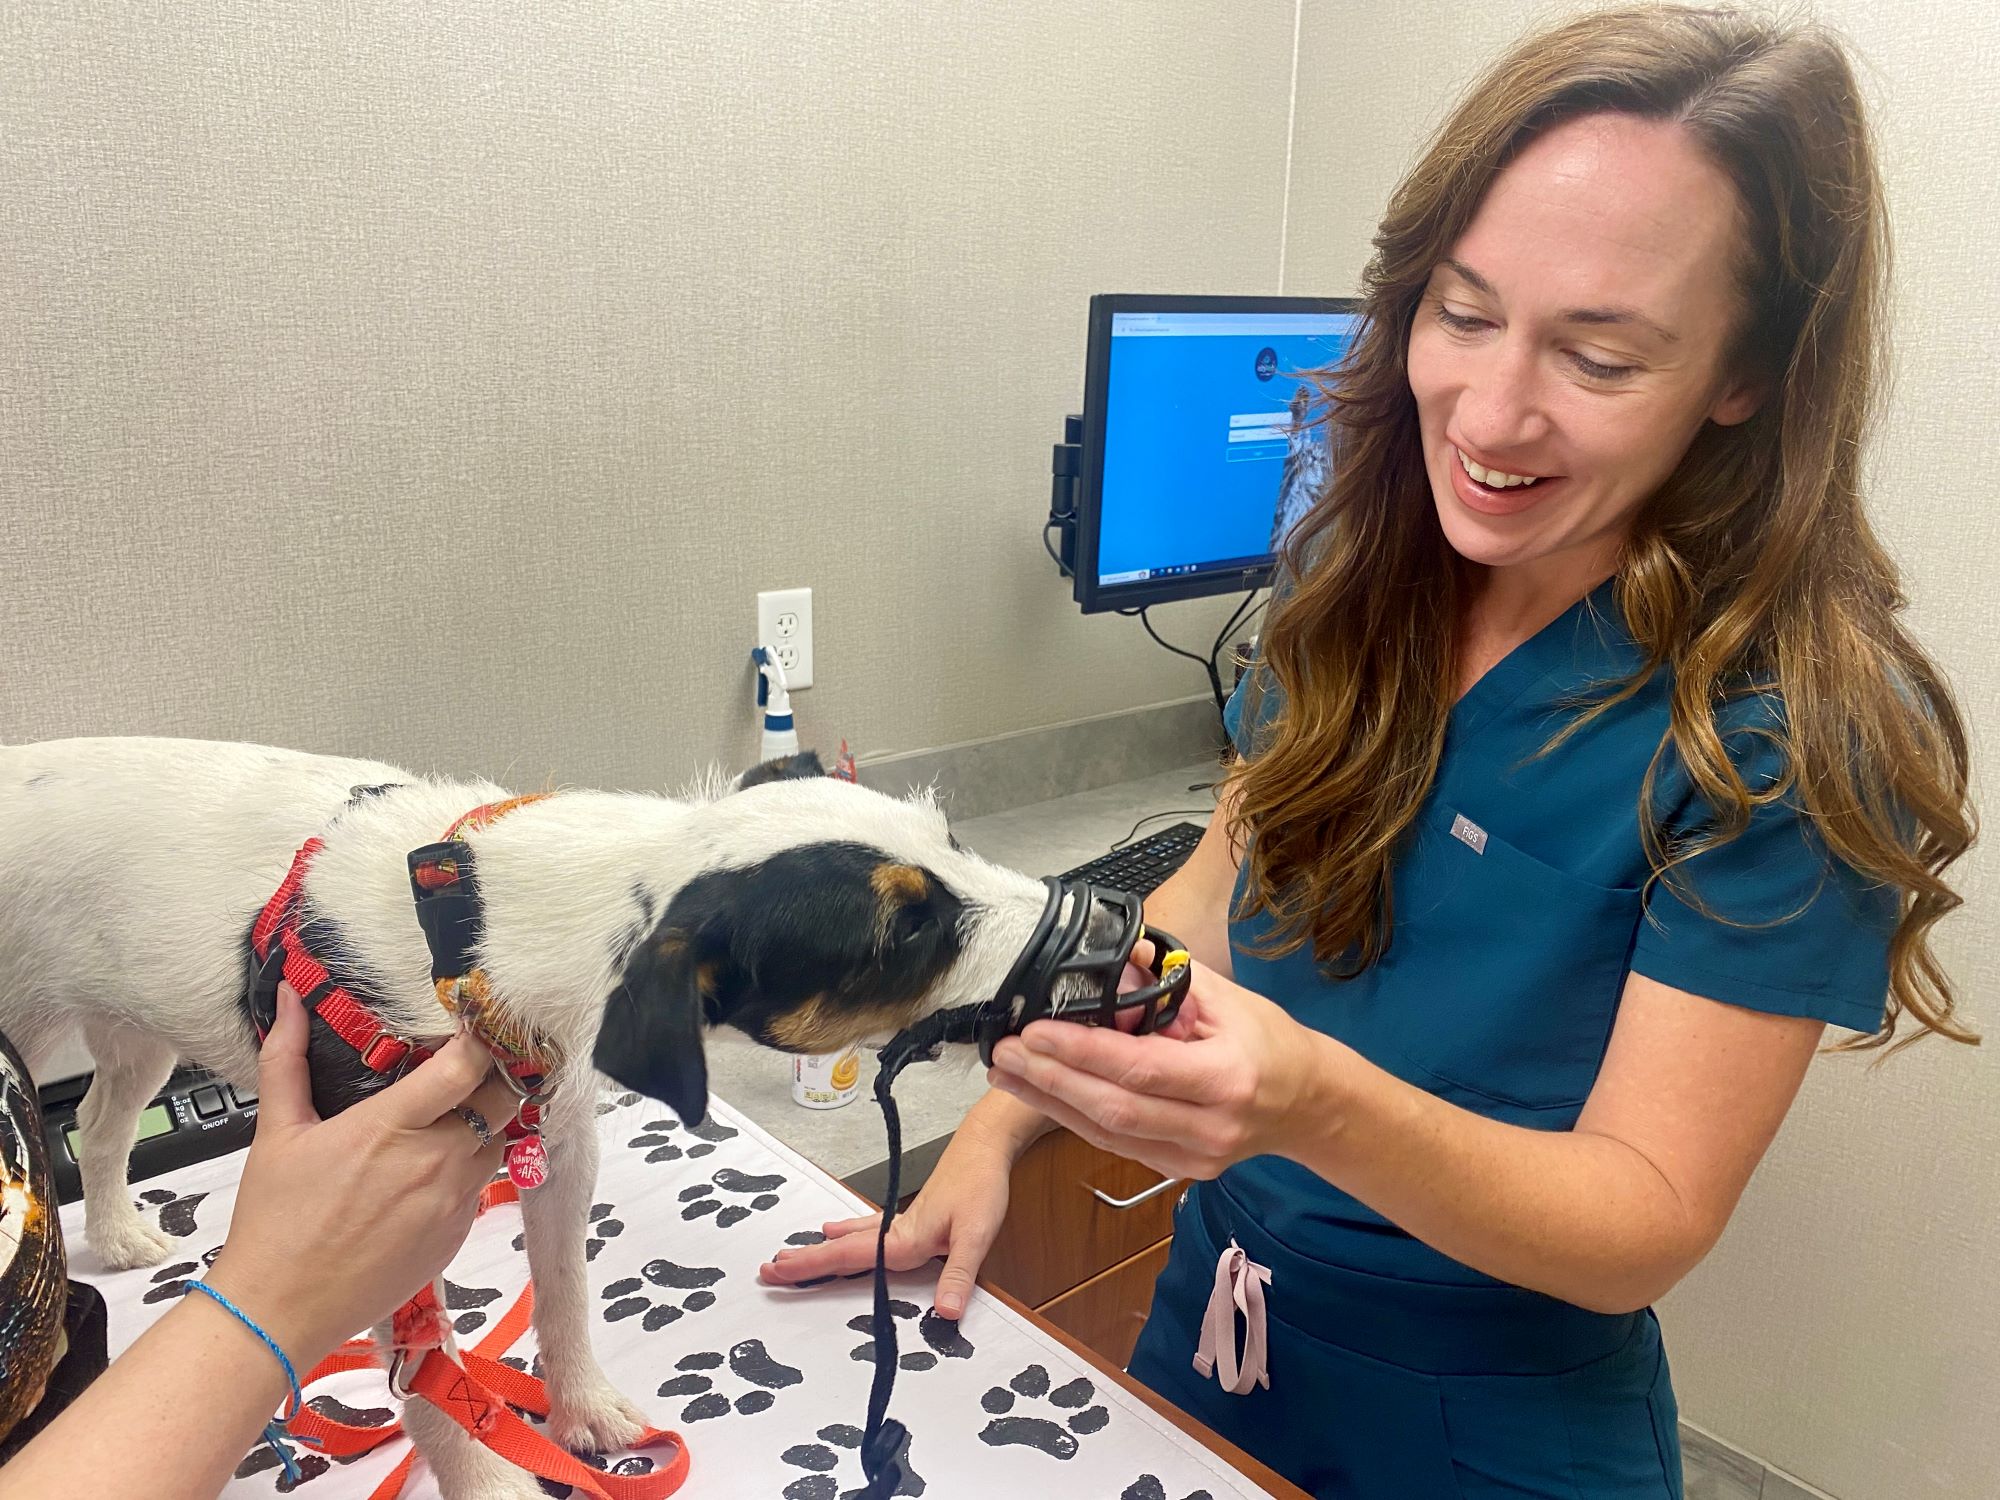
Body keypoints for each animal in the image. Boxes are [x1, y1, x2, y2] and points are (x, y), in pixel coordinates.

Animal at [0, 740, 1080, 1500]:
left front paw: (583, 1414)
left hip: (132, 1030)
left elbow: (562, 1287)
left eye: (953, 841)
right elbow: (430, 1368)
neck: (476, 931)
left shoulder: (556, 1137)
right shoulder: (372, 1199)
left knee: (100, 1124)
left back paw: (121, 1232)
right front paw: (485, 1477)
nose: (1094, 913)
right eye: (903, 931)